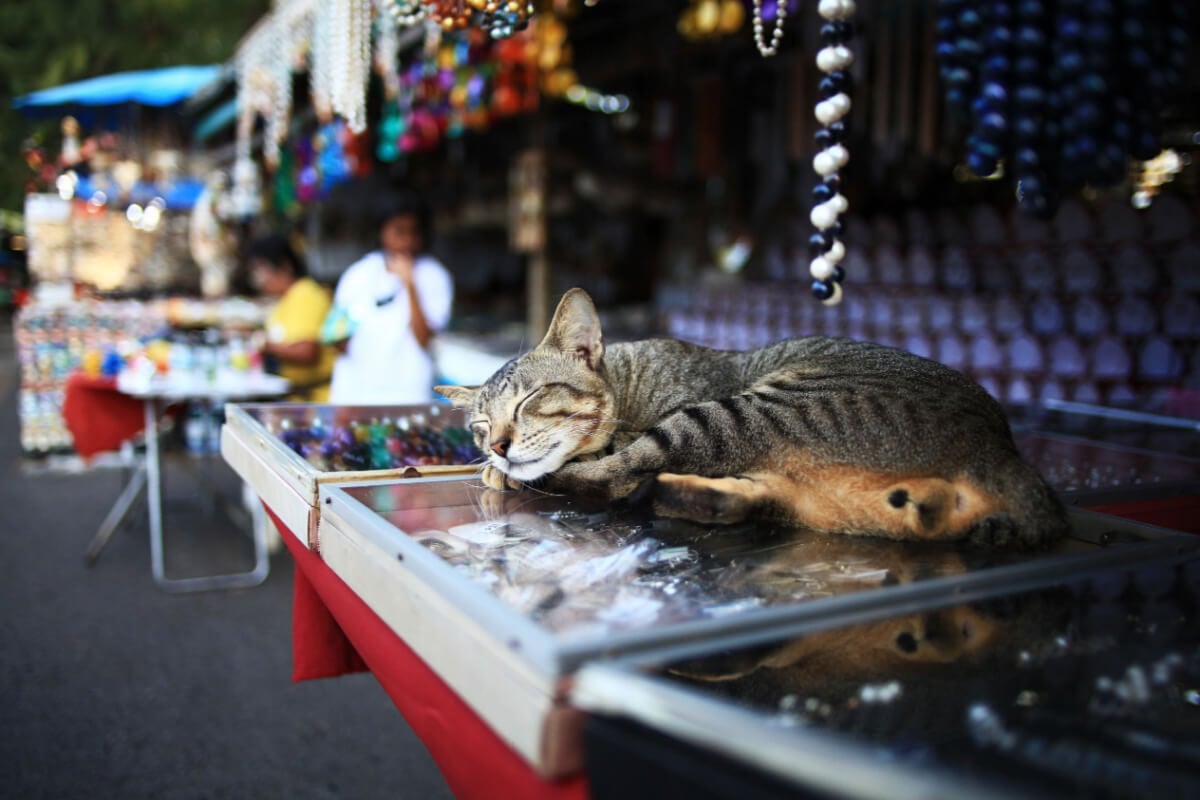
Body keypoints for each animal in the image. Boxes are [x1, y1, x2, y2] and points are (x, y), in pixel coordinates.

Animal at [439, 289, 1070, 551]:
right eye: (479, 425)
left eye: (529, 399)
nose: (496, 446)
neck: (630, 379)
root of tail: (1000, 444)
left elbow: (603, 455)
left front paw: (511, 469)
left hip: (740, 413)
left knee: (616, 476)